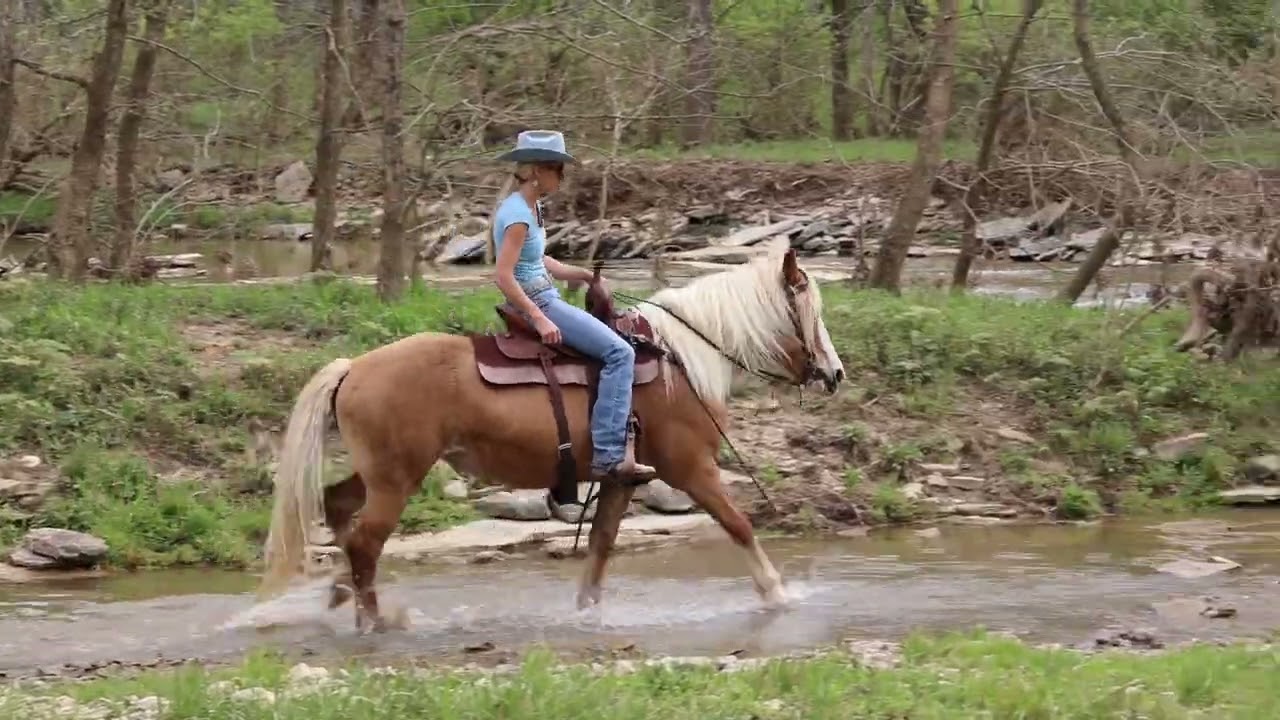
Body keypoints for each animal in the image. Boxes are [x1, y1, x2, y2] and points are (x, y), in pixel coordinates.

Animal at [256, 240, 846, 632]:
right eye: (810, 312)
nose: (835, 373)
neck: (680, 360)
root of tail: (354, 367)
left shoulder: (621, 479)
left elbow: (602, 548)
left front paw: (587, 613)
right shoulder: (691, 468)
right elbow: (739, 524)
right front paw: (778, 595)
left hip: (381, 473)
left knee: (338, 508)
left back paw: (341, 594)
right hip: (396, 480)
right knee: (366, 543)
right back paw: (377, 620)